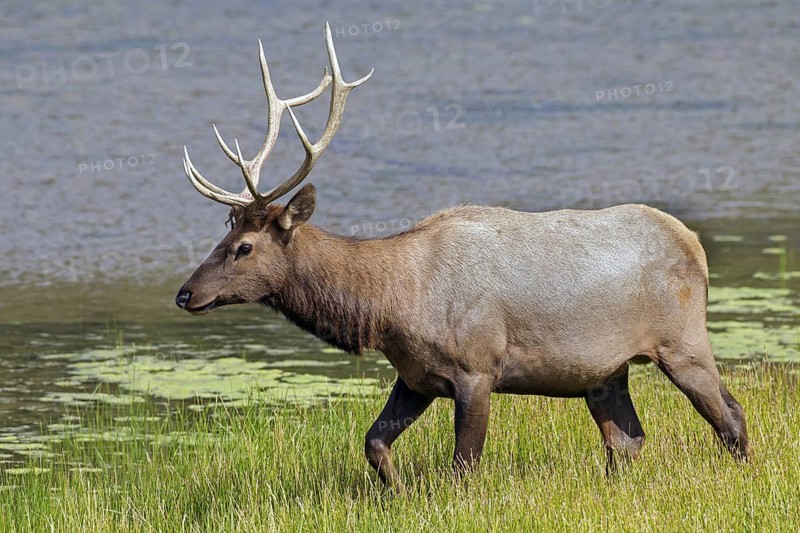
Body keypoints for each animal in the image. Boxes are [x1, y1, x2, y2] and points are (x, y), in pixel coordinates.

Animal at [175, 23, 751, 489]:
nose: (185, 293)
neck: (391, 306)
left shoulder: (477, 369)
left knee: (731, 415)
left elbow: (462, 467)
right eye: (222, 235)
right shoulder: (414, 375)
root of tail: (695, 244)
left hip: (683, 342)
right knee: (627, 439)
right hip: (605, 372)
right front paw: (398, 493)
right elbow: (373, 443)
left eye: (244, 247)